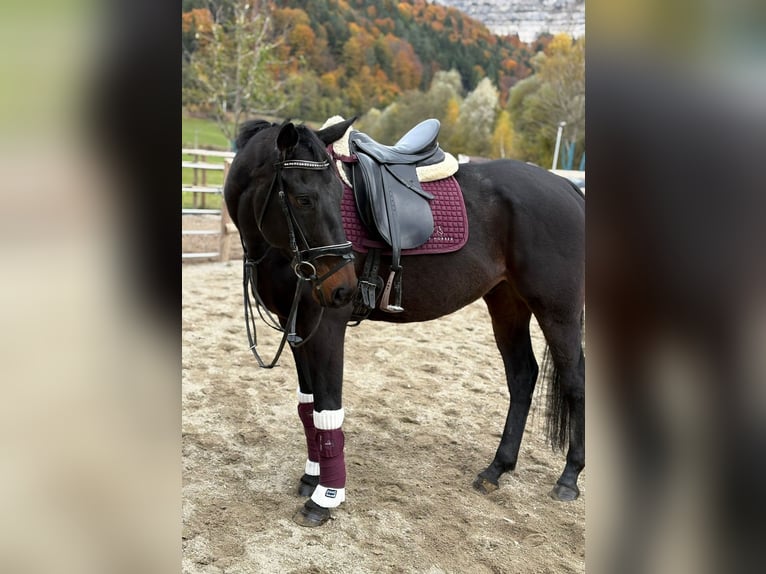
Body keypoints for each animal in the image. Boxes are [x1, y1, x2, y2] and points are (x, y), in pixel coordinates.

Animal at [223, 117, 585, 527]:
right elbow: (308, 407)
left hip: (557, 311)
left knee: (575, 382)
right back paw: (497, 468)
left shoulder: (326, 325)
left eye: (337, 194)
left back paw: (569, 477)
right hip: (507, 304)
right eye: (304, 199)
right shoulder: (295, 323)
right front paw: (311, 477)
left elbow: (328, 408)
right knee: (522, 375)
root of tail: (567, 188)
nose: (344, 288)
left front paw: (326, 497)